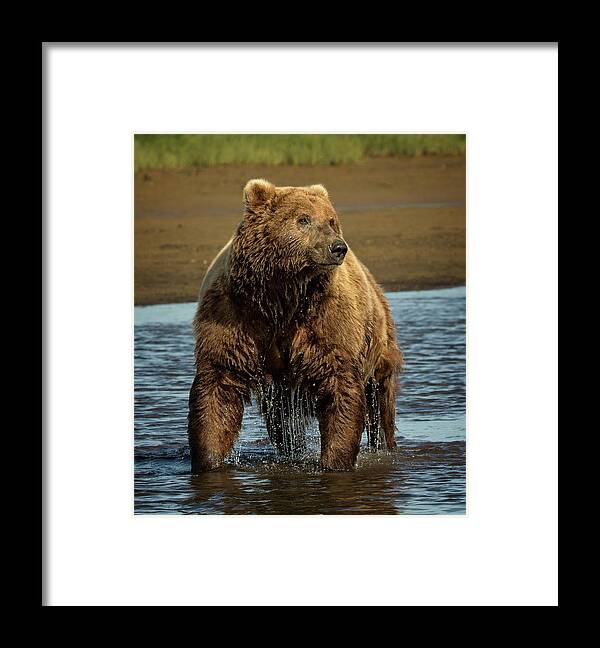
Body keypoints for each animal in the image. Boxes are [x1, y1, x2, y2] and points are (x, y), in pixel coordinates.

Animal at [188, 180, 404, 474]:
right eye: (303, 219)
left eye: (331, 220)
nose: (338, 247)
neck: (282, 296)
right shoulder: (234, 315)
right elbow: (218, 385)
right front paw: (208, 460)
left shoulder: (327, 322)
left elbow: (340, 386)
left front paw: (335, 462)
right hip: (280, 389)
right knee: (281, 422)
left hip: (378, 341)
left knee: (382, 403)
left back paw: (384, 444)